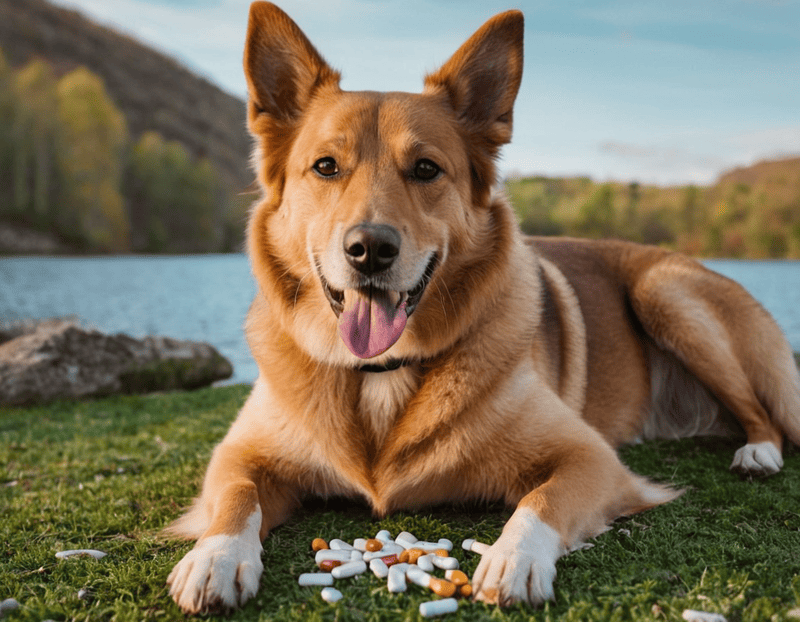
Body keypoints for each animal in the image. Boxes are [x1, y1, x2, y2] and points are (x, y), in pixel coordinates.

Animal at [164, 1, 800, 616]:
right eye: (326, 167)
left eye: (425, 168)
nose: (370, 249)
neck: (380, 375)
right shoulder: (238, 455)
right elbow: (236, 499)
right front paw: (215, 558)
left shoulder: (589, 458)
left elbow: (541, 500)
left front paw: (512, 559)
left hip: (667, 295)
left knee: (762, 412)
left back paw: (758, 453)